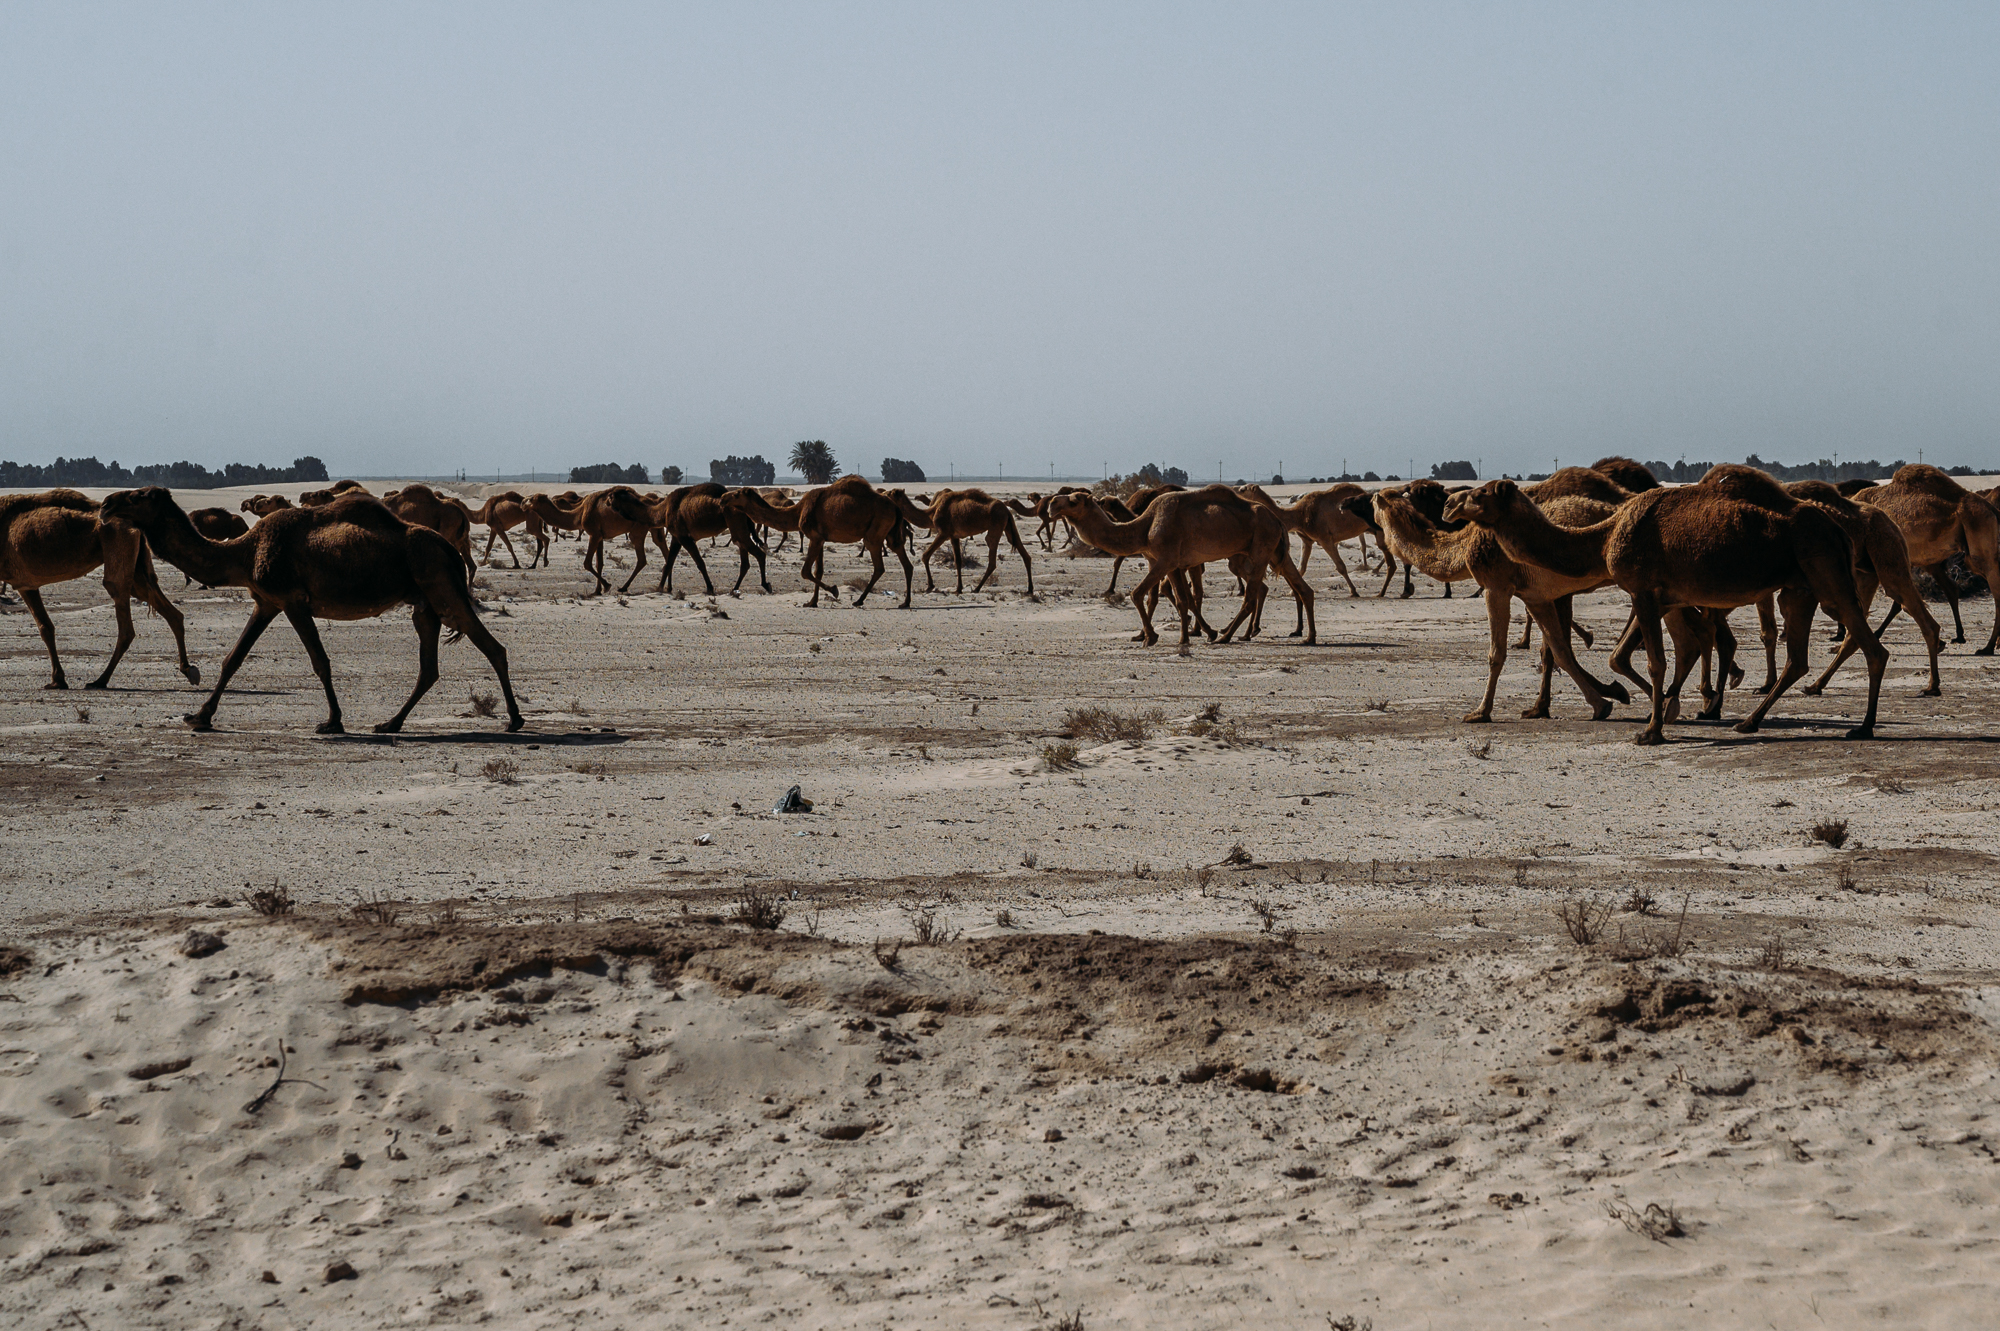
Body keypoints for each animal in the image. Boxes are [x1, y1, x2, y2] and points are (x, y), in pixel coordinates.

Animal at [0, 491, 201, 687]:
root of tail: (135, 526)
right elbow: (46, 627)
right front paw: (58, 679)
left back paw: (100, 680)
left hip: (118, 545)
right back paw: (187, 669)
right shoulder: (27, 584)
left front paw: (58, 679)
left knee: (125, 622)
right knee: (171, 613)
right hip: (139, 566)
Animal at [98, 485, 524, 735]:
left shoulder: (292, 602)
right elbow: (233, 659)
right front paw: (200, 716)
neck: (245, 551)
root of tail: (449, 549)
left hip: (442, 587)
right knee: (430, 667)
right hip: (424, 604)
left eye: (137, 496)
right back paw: (390, 722)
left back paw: (515, 720)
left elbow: (320, 661)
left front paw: (332, 722)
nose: (105, 504)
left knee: (493, 648)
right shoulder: (266, 602)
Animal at [1048, 491, 1312, 647]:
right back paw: (1309, 637)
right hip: (1274, 551)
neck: (1145, 526)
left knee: (1251, 597)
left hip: (1260, 547)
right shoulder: (1171, 564)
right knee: (1302, 588)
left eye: (1073, 500)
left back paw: (1226, 637)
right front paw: (1184, 637)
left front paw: (1151, 638)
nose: (1051, 503)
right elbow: (1182, 599)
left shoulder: (1164, 560)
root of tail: (1276, 519)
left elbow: (1137, 593)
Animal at [1448, 465, 1880, 739]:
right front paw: (1662, 710)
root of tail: (1838, 528)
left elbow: (1657, 661)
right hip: (1800, 589)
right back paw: (1749, 722)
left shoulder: (1642, 591)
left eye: (1479, 494)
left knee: (1871, 648)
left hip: (1828, 576)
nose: (1450, 505)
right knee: (1802, 659)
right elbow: (1665, 654)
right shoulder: (1664, 597)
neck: (1605, 536)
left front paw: (1651, 730)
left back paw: (1862, 726)